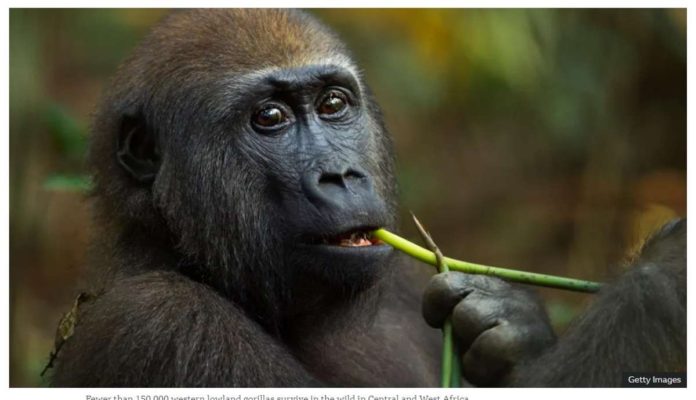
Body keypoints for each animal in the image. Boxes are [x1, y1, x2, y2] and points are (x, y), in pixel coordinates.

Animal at [49, 9, 684, 388]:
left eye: (333, 104)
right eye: (269, 118)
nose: (342, 175)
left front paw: (510, 323)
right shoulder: (162, 323)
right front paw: (662, 281)